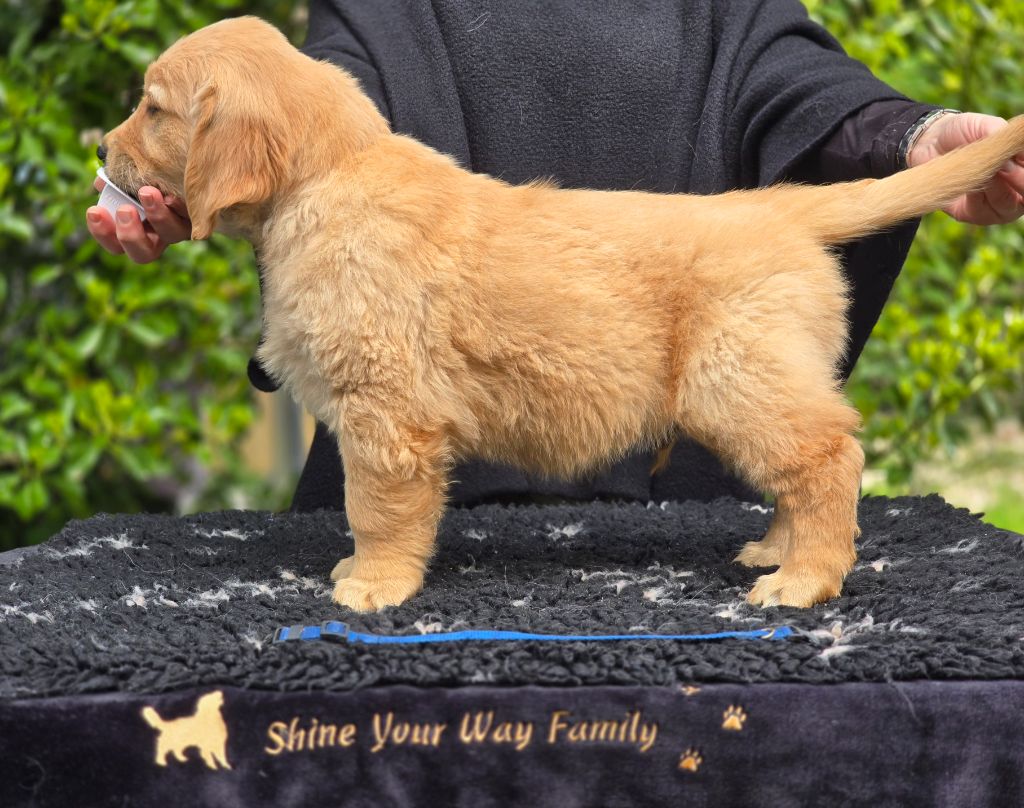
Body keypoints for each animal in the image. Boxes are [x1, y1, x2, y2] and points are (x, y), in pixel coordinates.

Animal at [100, 17, 1024, 611]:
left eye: (153, 107)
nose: (98, 149)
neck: (327, 177)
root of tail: (783, 208)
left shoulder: (386, 415)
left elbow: (378, 508)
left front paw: (374, 584)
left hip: (737, 380)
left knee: (831, 456)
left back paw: (804, 581)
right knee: (805, 467)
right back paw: (777, 550)